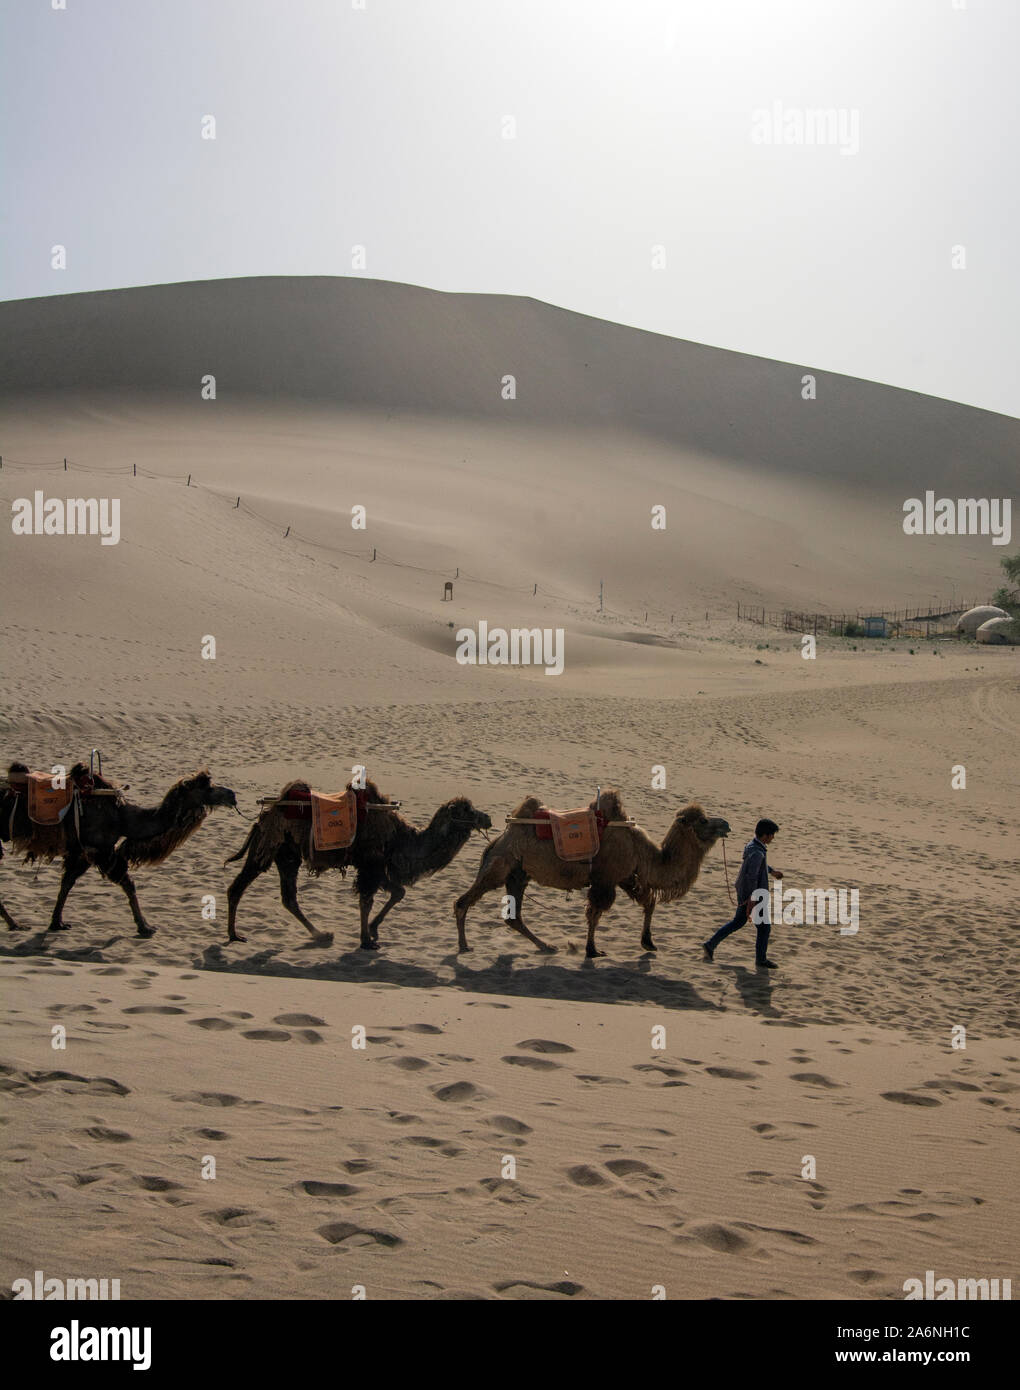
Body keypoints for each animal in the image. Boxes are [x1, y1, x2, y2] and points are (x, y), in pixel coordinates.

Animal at [0, 761, 236, 934]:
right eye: (206, 787)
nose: (231, 794)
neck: (123, 818)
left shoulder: (84, 852)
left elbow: (67, 883)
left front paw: (57, 922)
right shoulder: (101, 849)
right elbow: (128, 884)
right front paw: (145, 927)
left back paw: (14, 923)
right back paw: (15, 924)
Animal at [225, 778, 494, 950]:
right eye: (468, 811)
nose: (488, 818)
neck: (400, 838)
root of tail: (263, 817)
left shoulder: (378, 867)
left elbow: (398, 892)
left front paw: (373, 930)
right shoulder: (370, 865)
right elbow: (367, 900)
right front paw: (366, 940)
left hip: (287, 855)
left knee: (288, 897)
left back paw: (321, 934)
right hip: (269, 846)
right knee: (239, 886)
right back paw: (234, 935)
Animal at [453, 795, 728, 956]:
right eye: (703, 821)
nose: (726, 824)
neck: (643, 852)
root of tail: (501, 837)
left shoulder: (625, 877)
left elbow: (649, 902)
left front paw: (648, 943)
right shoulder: (606, 879)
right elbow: (595, 914)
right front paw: (592, 950)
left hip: (518, 874)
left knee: (514, 917)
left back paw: (546, 945)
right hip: (501, 865)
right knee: (463, 902)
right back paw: (464, 945)